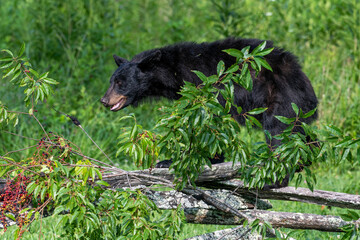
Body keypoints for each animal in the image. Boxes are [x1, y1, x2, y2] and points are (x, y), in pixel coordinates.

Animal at [101, 36, 318, 176]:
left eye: (120, 82)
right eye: (111, 80)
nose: (104, 100)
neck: (174, 72)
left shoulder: (207, 85)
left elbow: (210, 121)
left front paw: (180, 160)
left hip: (283, 101)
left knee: (279, 133)